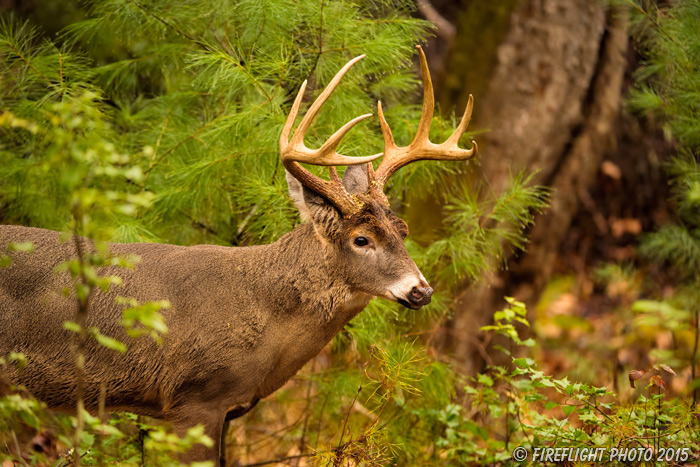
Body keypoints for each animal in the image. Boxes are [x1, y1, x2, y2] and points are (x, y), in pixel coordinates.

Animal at [0, 44, 476, 464]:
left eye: (403, 230)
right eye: (361, 239)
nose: (421, 291)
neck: (262, 314)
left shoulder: (225, 409)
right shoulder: (194, 399)